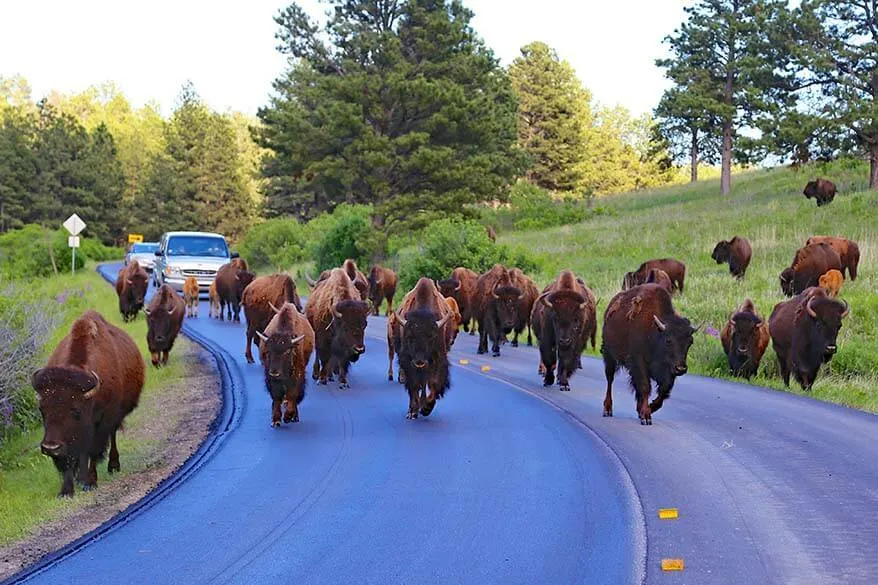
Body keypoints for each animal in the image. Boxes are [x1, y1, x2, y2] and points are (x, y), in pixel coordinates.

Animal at [31, 308, 146, 496]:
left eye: (75, 410)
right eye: (42, 409)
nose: (50, 447)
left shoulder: (101, 423)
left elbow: (92, 451)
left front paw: (90, 482)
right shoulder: (69, 440)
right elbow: (70, 458)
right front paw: (66, 491)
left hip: (114, 419)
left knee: (111, 437)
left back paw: (113, 466)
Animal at [390, 278, 454, 418]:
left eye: (432, 337)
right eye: (409, 337)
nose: (420, 361)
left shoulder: (438, 359)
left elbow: (434, 382)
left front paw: (426, 408)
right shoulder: (408, 362)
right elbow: (414, 385)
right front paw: (413, 410)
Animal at [600, 284, 696, 424]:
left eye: (690, 342)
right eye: (668, 340)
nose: (681, 368)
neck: (655, 333)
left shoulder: (669, 370)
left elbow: (664, 390)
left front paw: (650, 408)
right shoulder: (639, 362)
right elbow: (645, 386)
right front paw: (646, 416)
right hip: (609, 356)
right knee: (610, 379)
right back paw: (607, 409)